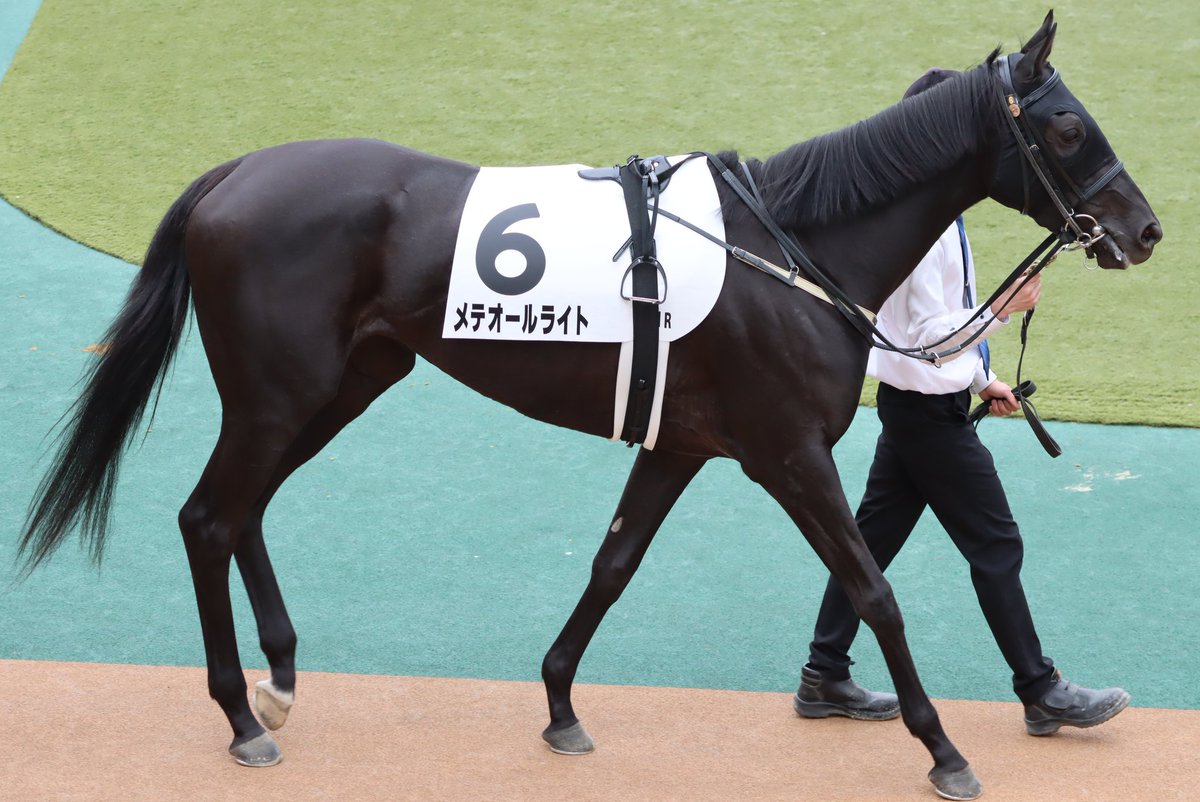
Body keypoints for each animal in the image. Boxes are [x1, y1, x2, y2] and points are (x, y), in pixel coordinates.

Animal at [19, 12, 1160, 800]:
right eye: (1066, 125)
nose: (1144, 229)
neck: (795, 247)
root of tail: (230, 173)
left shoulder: (683, 443)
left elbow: (615, 563)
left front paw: (561, 702)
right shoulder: (789, 452)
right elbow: (873, 587)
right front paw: (945, 746)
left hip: (346, 384)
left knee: (242, 509)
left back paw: (281, 678)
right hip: (279, 392)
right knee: (207, 515)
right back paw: (241, 716)